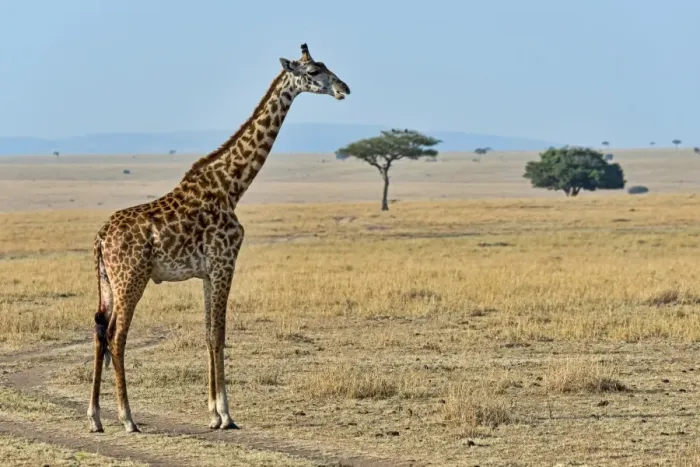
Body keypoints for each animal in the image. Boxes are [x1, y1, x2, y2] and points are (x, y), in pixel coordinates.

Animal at [87, 43, 350, 433]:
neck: (232, 186)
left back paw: (94, 417)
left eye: (325, 65)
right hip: (130, 278)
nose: (344, 89)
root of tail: (100, 238)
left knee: (99, 331)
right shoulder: (226, 262)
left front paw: (213, 413)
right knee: (117, 335)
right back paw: (127, 418)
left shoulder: (208, 272)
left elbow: (208, 333)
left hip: (106, 281)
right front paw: (226, 415)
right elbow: (220, 334)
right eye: (315, 71)